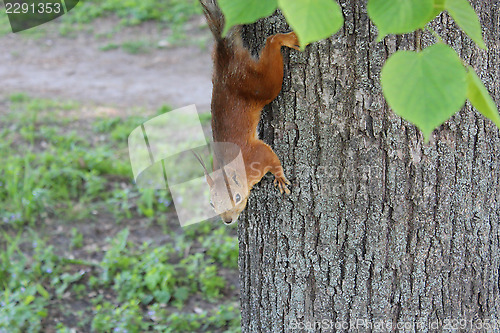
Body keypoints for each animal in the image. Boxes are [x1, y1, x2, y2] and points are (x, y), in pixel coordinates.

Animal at [199, 0, 300, 224]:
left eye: (237, 197)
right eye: (211, 203)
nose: (228, 220)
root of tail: (226, 60)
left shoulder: (256, 155)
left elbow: (271, 156)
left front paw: (280, 177)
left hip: (260, 85)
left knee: (271, 42)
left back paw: (285, 39)